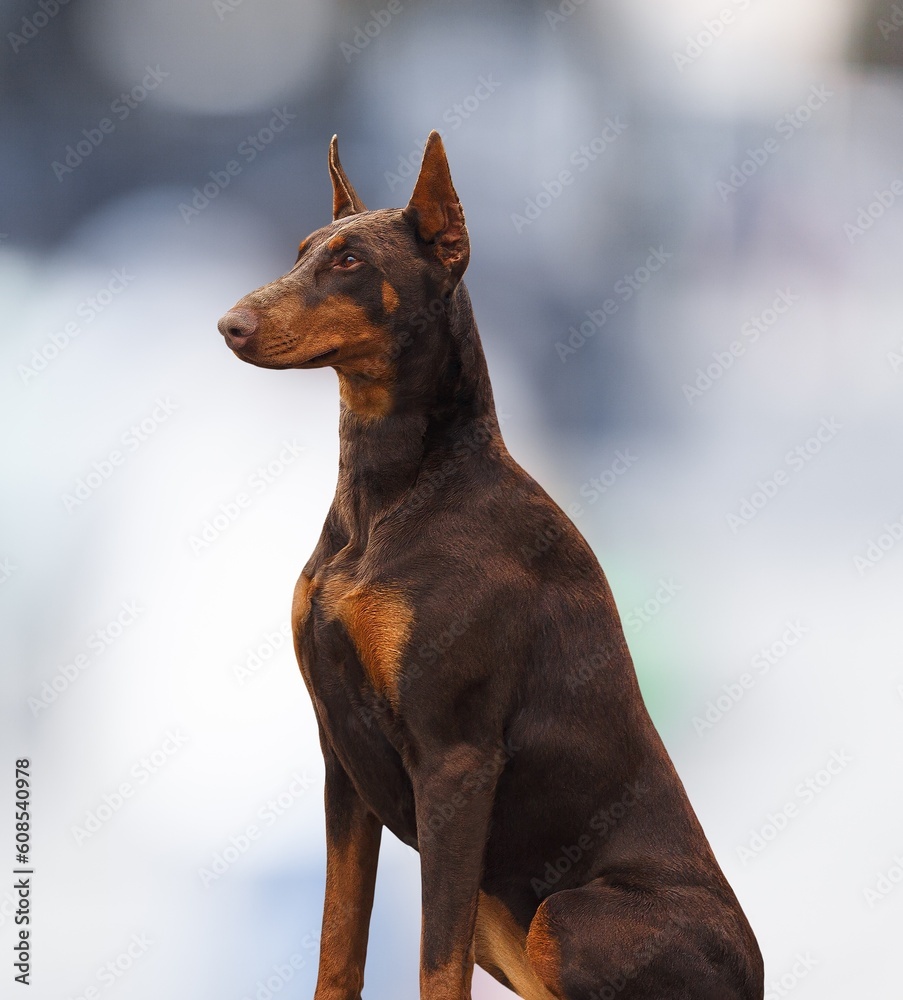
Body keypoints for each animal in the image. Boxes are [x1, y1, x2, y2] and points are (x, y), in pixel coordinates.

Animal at [219, 133, 764, 1000]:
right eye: (300, 252)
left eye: (348, 261)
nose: (229, 324)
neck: (390, 493)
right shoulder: (341, 759)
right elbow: (337, 945)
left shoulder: (456, 761)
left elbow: (433, 964)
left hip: (566, 916)